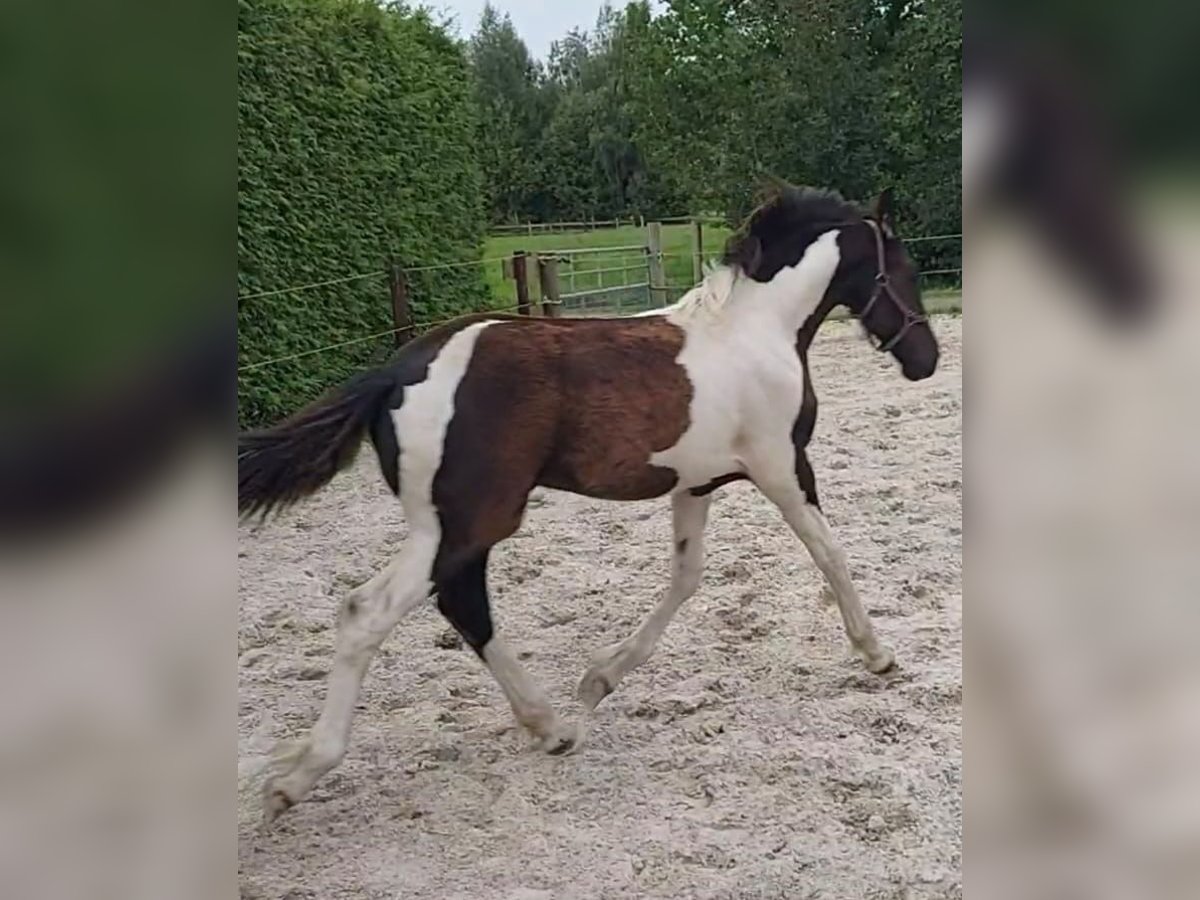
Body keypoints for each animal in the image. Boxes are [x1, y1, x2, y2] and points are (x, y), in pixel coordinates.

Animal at [238, 183, 940, 825]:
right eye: (904, 269)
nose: (926, 359)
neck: (756, 333)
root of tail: (395, 373)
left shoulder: (695, 484)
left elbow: (687, 578)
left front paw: (600, 679)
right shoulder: (782, 468)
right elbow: (830, 554)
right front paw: (877, 654)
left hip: (461, 529)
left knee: (462, 606)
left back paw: (550, 726)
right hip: (464, 524)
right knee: (373, 611)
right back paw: (297, 779)